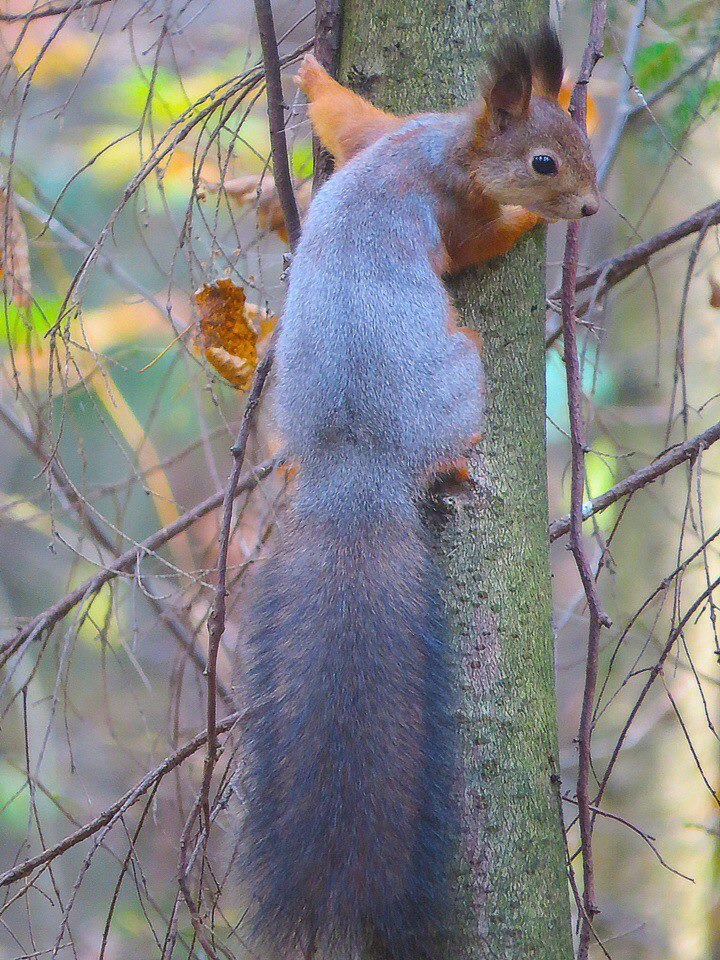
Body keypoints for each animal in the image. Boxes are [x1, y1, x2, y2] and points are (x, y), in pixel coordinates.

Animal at [235, 24, 596, 960]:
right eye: (545, 163)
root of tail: (359, 467)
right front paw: (523, 226)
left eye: (578, 138)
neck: (444, 144)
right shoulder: (453, 208)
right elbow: (478, 242)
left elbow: (346, 115)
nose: (588, 211)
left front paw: (311, 76)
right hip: (460, 370)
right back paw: (458, 458)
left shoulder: (383, 132)